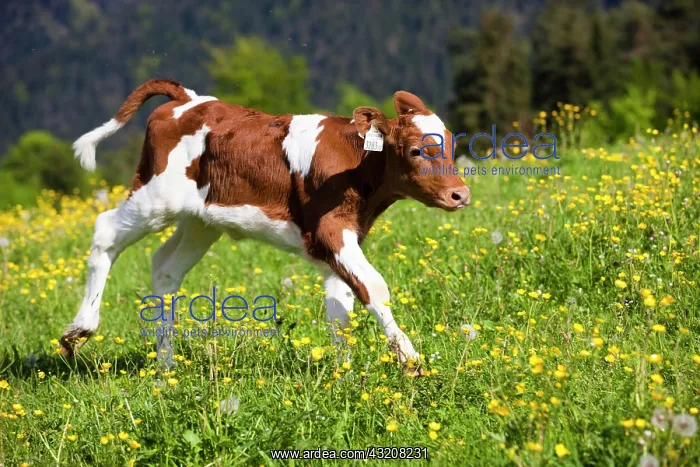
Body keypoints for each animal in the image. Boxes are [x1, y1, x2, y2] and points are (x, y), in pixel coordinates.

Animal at [60, 79, 470, 373]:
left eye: (451, 145)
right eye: (416, 150)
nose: (460, 195)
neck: (355, 165)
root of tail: (188, 99)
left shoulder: (342, 240)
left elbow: (340, 306)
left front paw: (344, 374)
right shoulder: (330, 230)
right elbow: (374, 287)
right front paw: (409, 359)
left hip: (200, 221)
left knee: (165, 268)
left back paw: (166, 364)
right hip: (155, 198)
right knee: (105, 232)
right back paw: (80, 329)